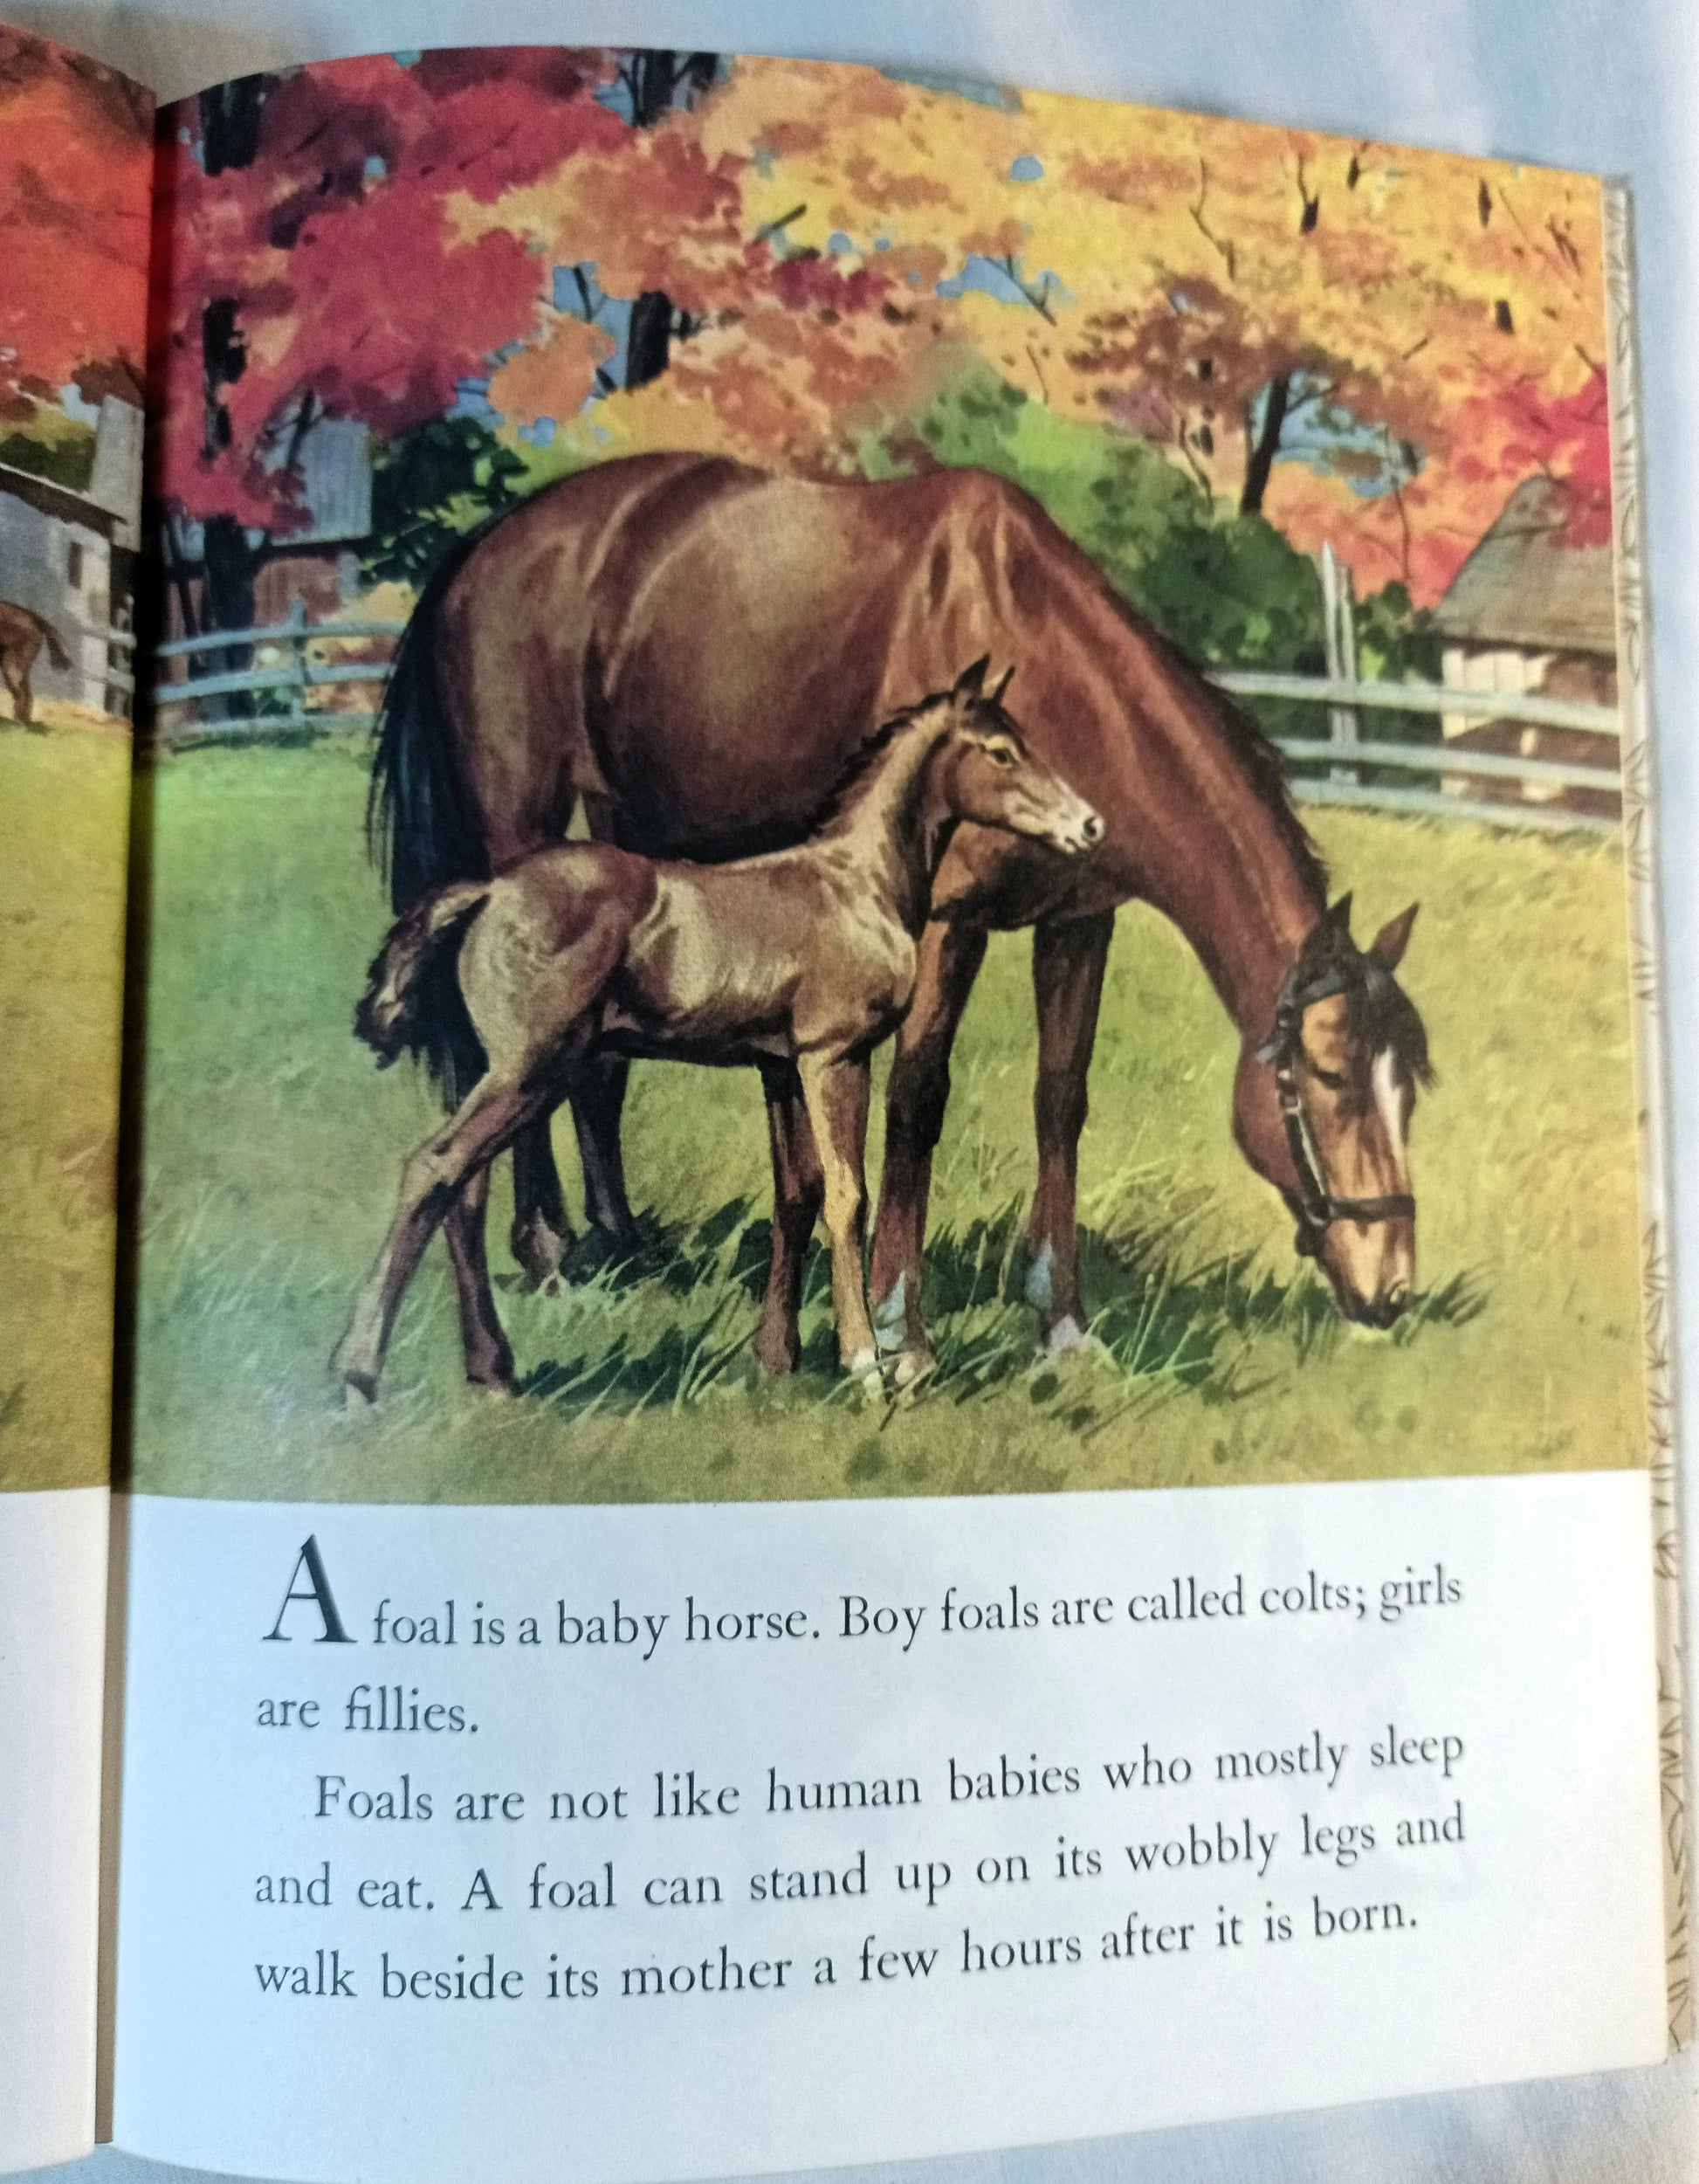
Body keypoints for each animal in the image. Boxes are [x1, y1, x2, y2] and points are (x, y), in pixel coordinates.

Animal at [0, 601, 70, 726]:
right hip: (21, 664)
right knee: (27, 693)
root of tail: (37, 619)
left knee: (21, 692)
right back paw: (24, 721)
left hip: (12, 663)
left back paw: (18, 722)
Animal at [337, 662, 1102, 1404]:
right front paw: (863, 1363)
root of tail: (489, 891)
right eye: (1002, 752)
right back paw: (358, 1373)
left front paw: (778, 1361)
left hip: (512, 1076)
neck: (854, 882)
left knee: (460, 1193)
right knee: (432, 1169)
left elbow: (797, 1192)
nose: (1090, 825)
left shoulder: (779, 1067)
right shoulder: (834, 1056)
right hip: (527, 1071)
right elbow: (846, 1195)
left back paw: (492, 1370)